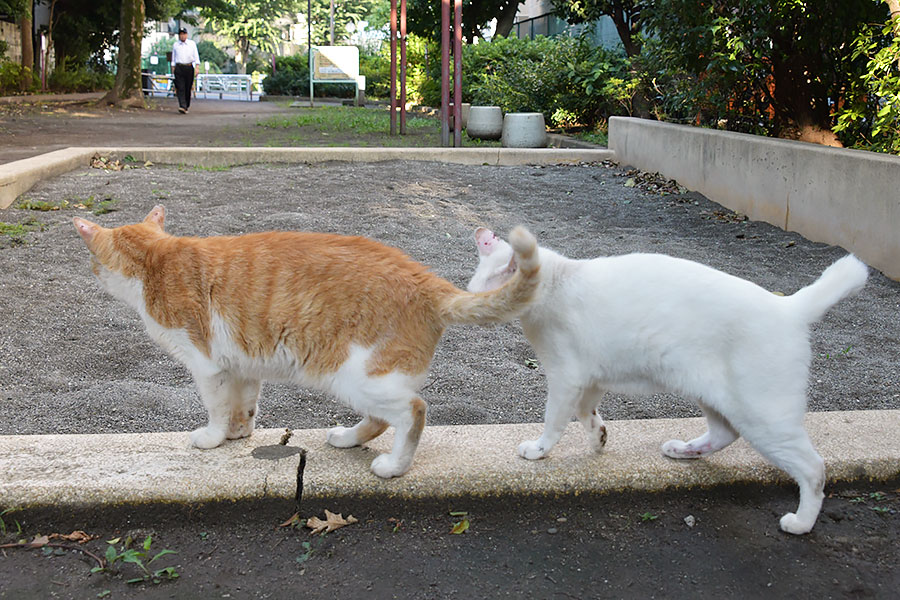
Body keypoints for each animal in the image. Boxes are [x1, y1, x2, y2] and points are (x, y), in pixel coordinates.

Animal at [74, 206, 536, 478]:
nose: (92, 274)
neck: (156, 263)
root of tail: (427, 279)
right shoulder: (242, 365)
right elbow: (243, 406)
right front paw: (239, 433)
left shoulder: (206, 366)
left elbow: (216, 409)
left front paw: (214, 437)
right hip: (365, 381)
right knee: (381, 419)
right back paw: (347, 439)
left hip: (355, 376)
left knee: (413, 412)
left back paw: (393, 466)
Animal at [468, 227, 868, 532]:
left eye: (485, 288)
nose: (471, 303)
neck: (555, 282)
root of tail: (788, 307)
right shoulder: (592, 380)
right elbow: (586, 414)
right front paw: (599, 439)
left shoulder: (565, 378)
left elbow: (554, 421)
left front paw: (539, 450)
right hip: (716, 398)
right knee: (724, 433)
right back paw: (684, 450)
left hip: (764, 417)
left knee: (813, 469)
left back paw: (800, 523)